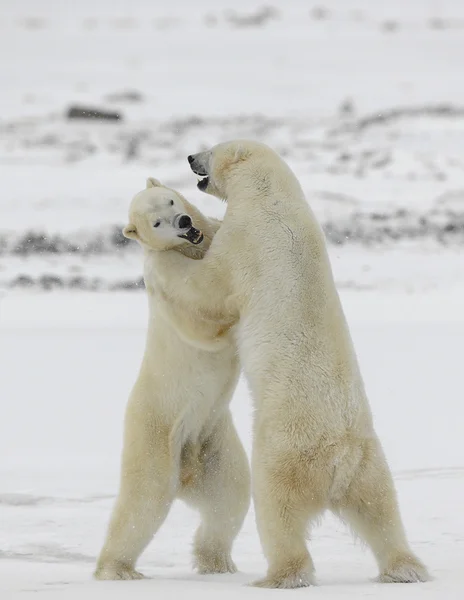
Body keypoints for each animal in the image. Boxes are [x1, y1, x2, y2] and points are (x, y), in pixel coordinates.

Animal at [94, 179, 250, 580]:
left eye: (170, 200)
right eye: (157, 222)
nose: (183, 221)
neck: (190, 248)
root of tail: (186, 474)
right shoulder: (166, 274)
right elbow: (201, 310)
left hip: (213, 441)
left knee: (231, 494)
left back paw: (218, 562)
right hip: (155, 433)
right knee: (144, 502)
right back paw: (117, 569)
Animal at [150, 143, 430, 588]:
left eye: (213, 149)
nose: (191, 156)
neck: (273, 196)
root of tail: (339, 457)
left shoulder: (244, 242)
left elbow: (209, 290)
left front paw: (165, 262)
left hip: (284, 454)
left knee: (276, 511)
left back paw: (279, 576)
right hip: (369, 464)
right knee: (382, 513)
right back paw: (406, 568)